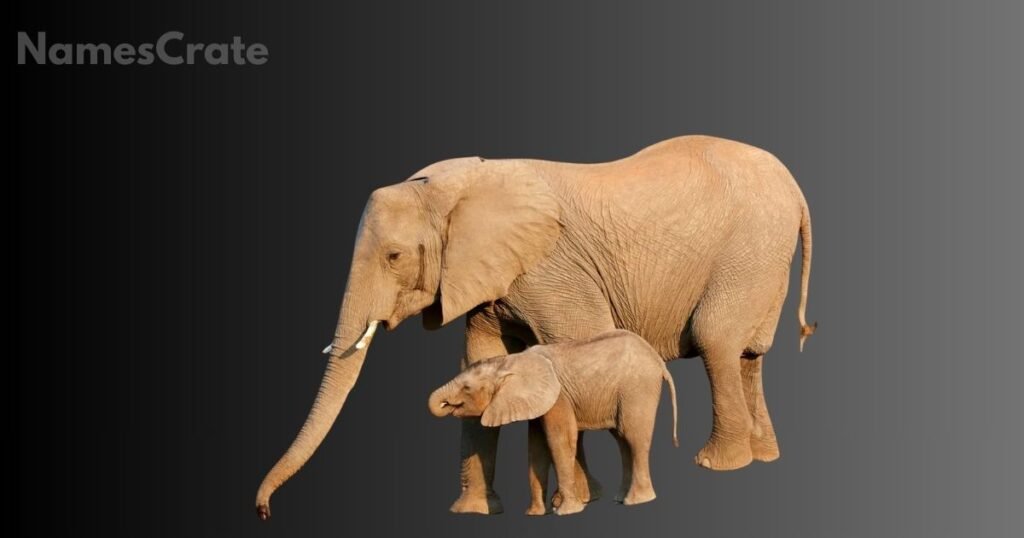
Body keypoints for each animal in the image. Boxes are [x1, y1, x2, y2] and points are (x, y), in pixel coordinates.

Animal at [428, 330, 679, 516]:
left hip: (638, 388)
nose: (446, 404)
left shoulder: (558, 397)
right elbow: (536, 447)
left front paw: (565, 512)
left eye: (467, 388)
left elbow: (559, 439)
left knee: (633, 436)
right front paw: (535, 514)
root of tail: (659, 361)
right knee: (622, 440)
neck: (510, 361)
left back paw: (637, 501)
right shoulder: (539, 401)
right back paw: (620, 499)